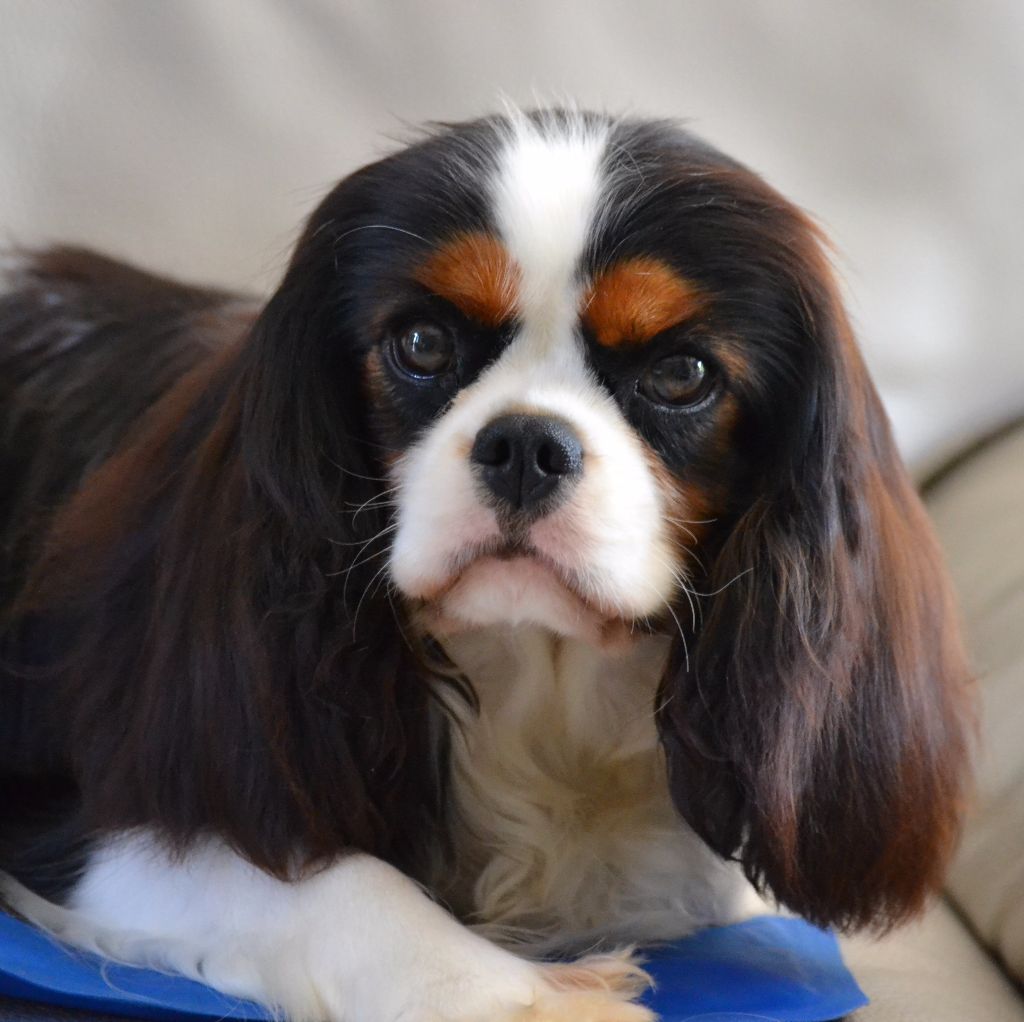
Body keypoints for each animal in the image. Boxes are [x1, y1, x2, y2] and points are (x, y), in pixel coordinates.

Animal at [0, 109, 973, 1022]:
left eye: (683, 373)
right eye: (423, 344)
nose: (526, 445)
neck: (537, 682)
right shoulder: (106, 798)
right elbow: (329, 883)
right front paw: (530, 997)